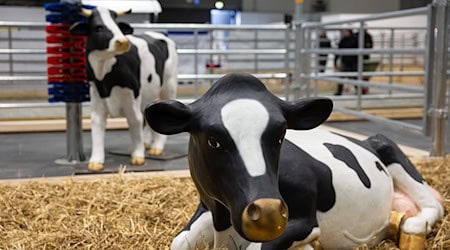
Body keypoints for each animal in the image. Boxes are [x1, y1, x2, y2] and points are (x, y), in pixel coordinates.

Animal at [69, 7, 177, 172]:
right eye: (98, 28)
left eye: (117, 25)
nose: (123, 42)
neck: (104, 74)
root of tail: (160, 33)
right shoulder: (96, 95)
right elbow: (97, 124)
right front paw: (96, 160)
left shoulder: (132, 96)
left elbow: (134, 121)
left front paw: (138, 155)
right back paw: (147, 143)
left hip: (169, 85)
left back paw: (156, 147)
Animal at [145, 73, 442, 250]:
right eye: (213, 141)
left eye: (280, 135)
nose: (269, 213)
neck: (224, 223)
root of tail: (365, 141)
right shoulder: (209, 204)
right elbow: (179, 241)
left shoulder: (302, 220)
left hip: (388, 146)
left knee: (433, 203)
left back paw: (413, 225)